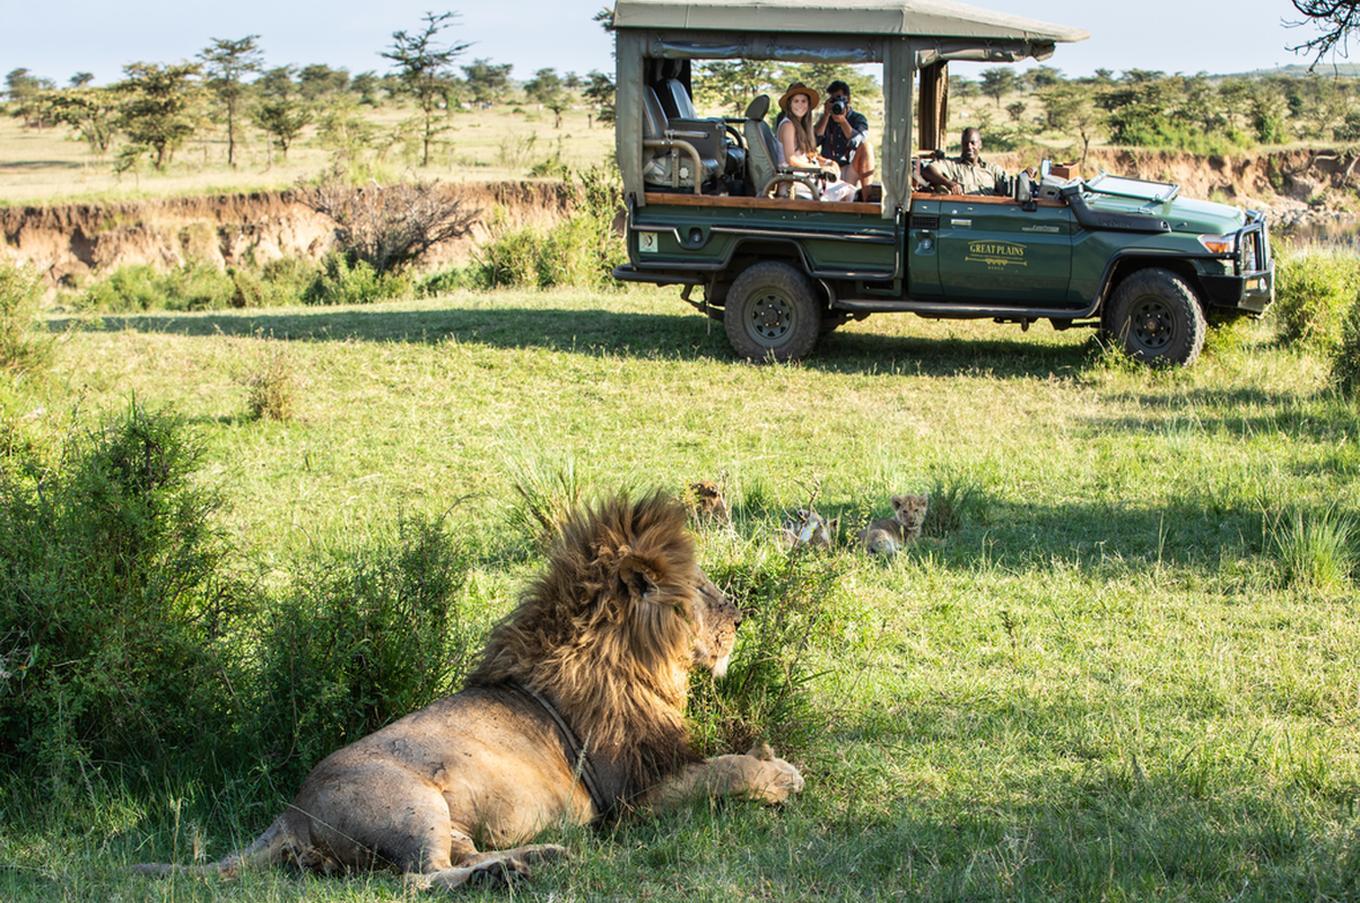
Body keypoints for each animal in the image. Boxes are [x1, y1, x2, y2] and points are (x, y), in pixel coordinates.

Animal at [133, 495, 799, 886]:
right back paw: (509, 874)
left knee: (456, 859)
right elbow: (723, 770)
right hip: (411, 805)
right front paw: (779, 774)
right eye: (701, 590)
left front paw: (769, 757)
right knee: (419, 880)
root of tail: (290, 814)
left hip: (447, 820)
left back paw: (534, 859)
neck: (632, 660)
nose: (740, 617)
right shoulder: (630, 797)